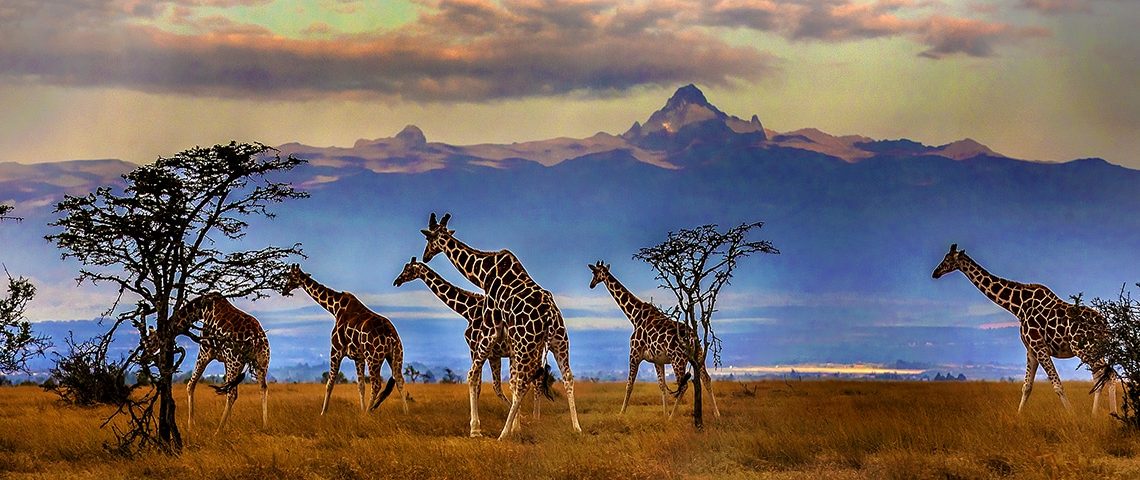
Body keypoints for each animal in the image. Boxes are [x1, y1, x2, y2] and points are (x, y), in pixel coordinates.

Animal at [153, 291, 269, 433]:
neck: (201, 309)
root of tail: (256, 338)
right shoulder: (226, 359)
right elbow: (228, 387)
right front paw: (229, 427)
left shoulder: (205, 352)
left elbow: (191, 385)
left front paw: (191, 425)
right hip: (261, 361)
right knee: (262, 388)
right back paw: (264, 425)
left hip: (235, 360)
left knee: (231, 393)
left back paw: (218, 430)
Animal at [281, 263, 410, 412]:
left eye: (290, 276)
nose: (284, 290)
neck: (335, 308)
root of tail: (392, 336)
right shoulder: (359, 357)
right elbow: (361, 386)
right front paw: (361, 411)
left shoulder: (336, 350)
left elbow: (330, 383)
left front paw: (323, 412)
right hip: (395, 354)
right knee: (399, 379)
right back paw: (405, 412)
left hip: (374, 358)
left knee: (376, 384)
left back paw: (369, 411)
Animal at [419, 212, 579, 437]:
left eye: (428, 239)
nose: (425, 256)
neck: (483, 273)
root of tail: (549, 315)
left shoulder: (489, 327)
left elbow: (474, 376)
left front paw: (476, 428)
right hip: (559, 341)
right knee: (567, 377)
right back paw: (576, 427)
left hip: (525, 344)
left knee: (522, 384)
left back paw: (503, 434)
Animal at [588, 259, 720, 417]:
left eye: (594, 272)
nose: (591, 284)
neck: (634, 316)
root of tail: (693, 337)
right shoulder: (658, 360)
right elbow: (662, 386)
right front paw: (664, 414)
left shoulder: (634, 354)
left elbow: (629, 385)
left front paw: (621, 413)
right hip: (698, 354)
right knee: (706, 379)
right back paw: (717, 415)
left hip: (678, 360)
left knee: (683, 386)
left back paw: (673, 417)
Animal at [934, 245, 1112, 412]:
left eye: (947, 259)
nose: (935, 273)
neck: (1018, 306)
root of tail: (1105, 326)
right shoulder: (1031, 350)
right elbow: (1026, 387)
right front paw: (1018, 416)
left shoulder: (1040, 347)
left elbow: (1058, 386)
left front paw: (1072, 415)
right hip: (1093, 350)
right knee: (1102, 376)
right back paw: (1097, 414)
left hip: (1084, 348)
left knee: (1107, 375)